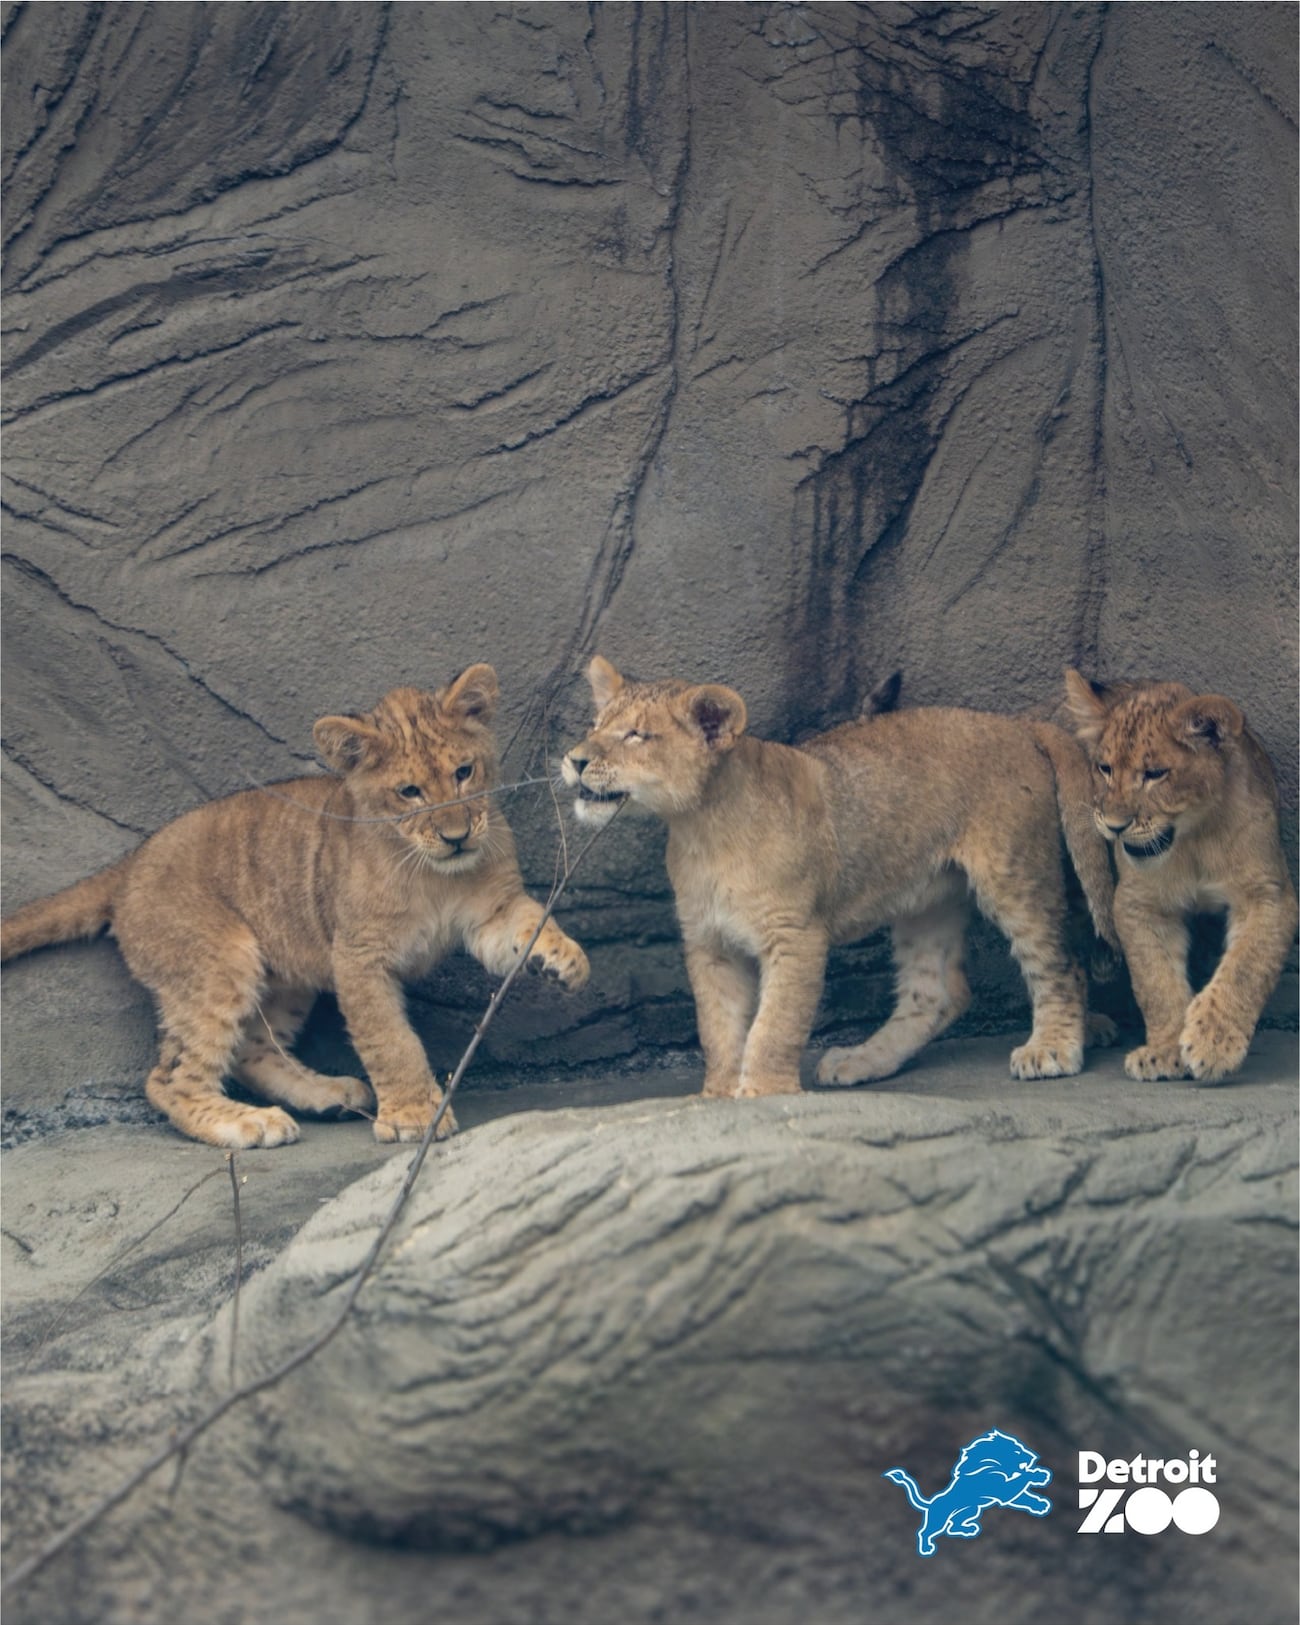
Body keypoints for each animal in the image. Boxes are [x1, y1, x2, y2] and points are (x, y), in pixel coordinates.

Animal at [2, 666, 588, 1148]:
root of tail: (131, 864)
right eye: (409, 792)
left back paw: (329, 1094)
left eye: (465, 772)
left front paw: (565, 960)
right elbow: (389, 1038)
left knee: (253, 1050)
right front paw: (413, 1117)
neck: (432, 875)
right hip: (220, 961)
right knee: (169, 1078)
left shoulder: (492, 910)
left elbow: (529, 922)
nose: (457, 836)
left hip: (284, 976)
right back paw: (248, 1123)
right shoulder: (358, 955)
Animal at [561, 657, 1117, 1096]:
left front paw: (763, 1093)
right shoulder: (709, 943)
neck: (703, 827)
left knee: (1061, 963)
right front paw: (717, 1095)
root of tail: (1018, 724)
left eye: (637, 735)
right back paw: (861, 1060)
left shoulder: (796, 934)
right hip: (927, 899)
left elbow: (774, 1025)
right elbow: (719, 1029)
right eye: (596, 724)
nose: (574, 758)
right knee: (937, 993)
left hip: (1014, 873)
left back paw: (1051, 1049)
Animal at [1064, 670, 1297, 1081]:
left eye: (1155, 774)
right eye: (1105, 769)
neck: (1193, 841)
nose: (1115, 826)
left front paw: (1214, 1044)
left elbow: (1245, 968)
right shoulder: (1137, 903)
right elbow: (1156, 981)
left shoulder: (1268, 893)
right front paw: (1166, 1051)